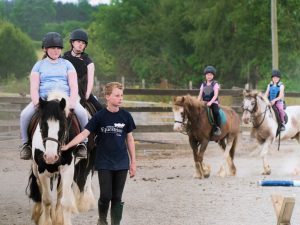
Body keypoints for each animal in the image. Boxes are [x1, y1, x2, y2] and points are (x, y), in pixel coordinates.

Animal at [27, 92, 95, 225]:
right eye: (42, 125)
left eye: (63, 125)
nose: (50, 157)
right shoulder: (42, 170)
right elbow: (47, 199)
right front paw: (46, 220)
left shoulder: (68, 168)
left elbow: (65, 201)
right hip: (36, 168)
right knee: (39, 188)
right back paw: (38, 212)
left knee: (61, 193)